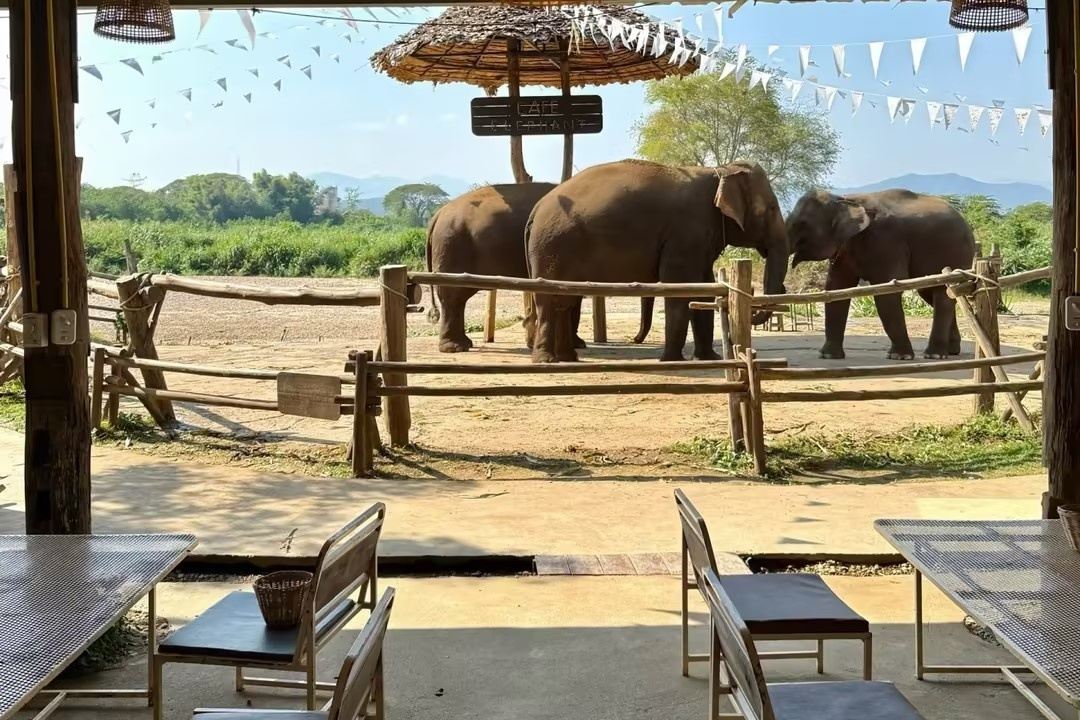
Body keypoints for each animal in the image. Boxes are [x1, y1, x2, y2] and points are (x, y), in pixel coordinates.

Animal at [426, 183, 652, 352]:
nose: (634, 339)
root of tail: (437, 214)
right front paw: (578, 345)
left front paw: (575, 344)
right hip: (452, 244)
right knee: (452, 295)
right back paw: (455, 348)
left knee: (459, 297)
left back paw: (464, 344)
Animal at [524, 159, 790, 363]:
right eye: (771, 209)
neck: (720, 170)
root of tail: (536, 209)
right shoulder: (685, 232)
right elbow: (679, 287)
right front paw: (673, 360)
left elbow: (703, 288)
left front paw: (708, 359)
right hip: (551, 247)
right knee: (549, 299)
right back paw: (547, 361)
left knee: (565, 301)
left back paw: (567, 358)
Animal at [787, 189, 976, 360]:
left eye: (801, 224)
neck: (845, 199)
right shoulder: (845, 249)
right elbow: (836, 289)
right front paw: (828, 356)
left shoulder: (886, 241)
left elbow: (886, 292)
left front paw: (899, 357)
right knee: (934, 294)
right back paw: (951, 352)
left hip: (954, 254)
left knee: (941, 294)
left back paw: (934, 355)